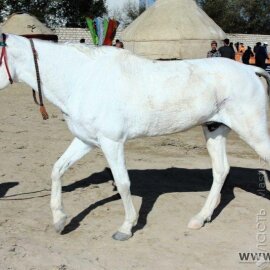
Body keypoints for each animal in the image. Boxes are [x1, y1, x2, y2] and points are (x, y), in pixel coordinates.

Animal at [0, 32, 270, 242]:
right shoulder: (86, 141)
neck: (83, 79)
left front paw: (126, 228)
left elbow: (123, 183)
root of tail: (251, 69)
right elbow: (57, 169)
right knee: (221, 170)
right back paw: (200, 219)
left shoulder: (112, 143)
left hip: (252, 131)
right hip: (215, 129)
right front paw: (60, 220)